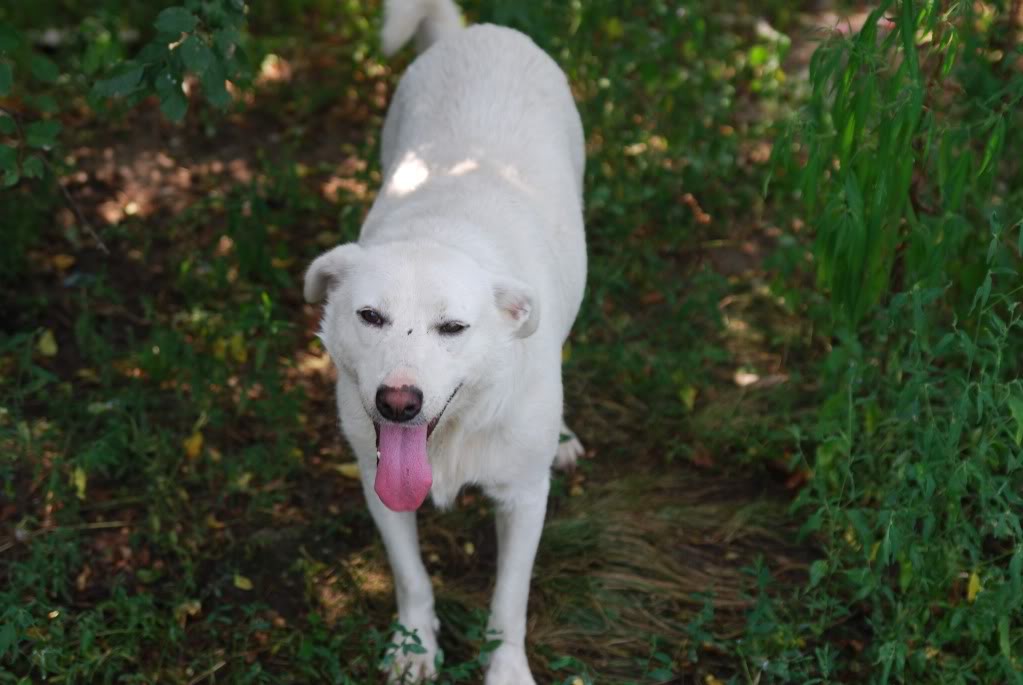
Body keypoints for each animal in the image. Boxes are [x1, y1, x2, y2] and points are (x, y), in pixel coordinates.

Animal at [302, 2, 589, 682]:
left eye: (453, 328)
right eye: (370, 316)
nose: (398, 403)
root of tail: (477, 34)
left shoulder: (524, 499)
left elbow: (508, 603)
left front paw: (506, 670)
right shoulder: (377, 480)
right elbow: (411, 578)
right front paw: (414, 648)